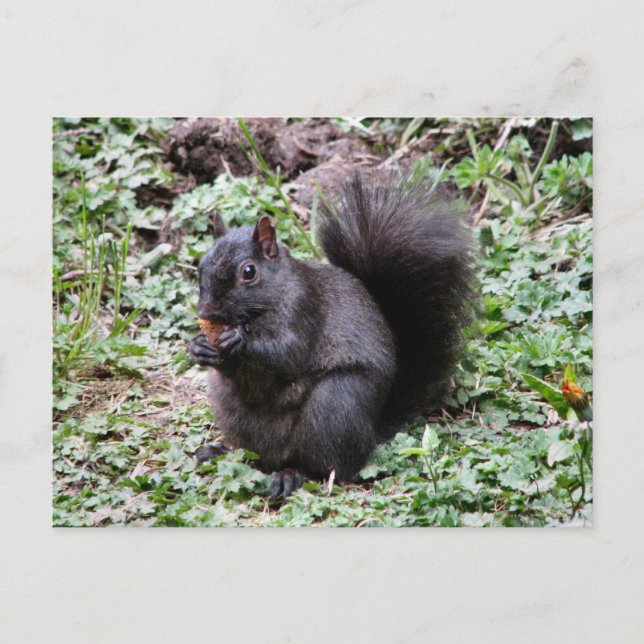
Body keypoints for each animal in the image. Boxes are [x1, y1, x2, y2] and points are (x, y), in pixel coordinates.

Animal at [188, 173, 475, 498]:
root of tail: (371, 431)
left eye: (249, 272)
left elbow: (289, 354)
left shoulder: (304, 307)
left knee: (329, 467)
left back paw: (292, 474)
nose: (207, 311)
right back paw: (223, 452)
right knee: (256, 455)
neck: (266, 305)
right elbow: (230, 370)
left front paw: (239, 338)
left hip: (333, 405)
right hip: (231, 409)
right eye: (201, 265)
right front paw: (199, 347)